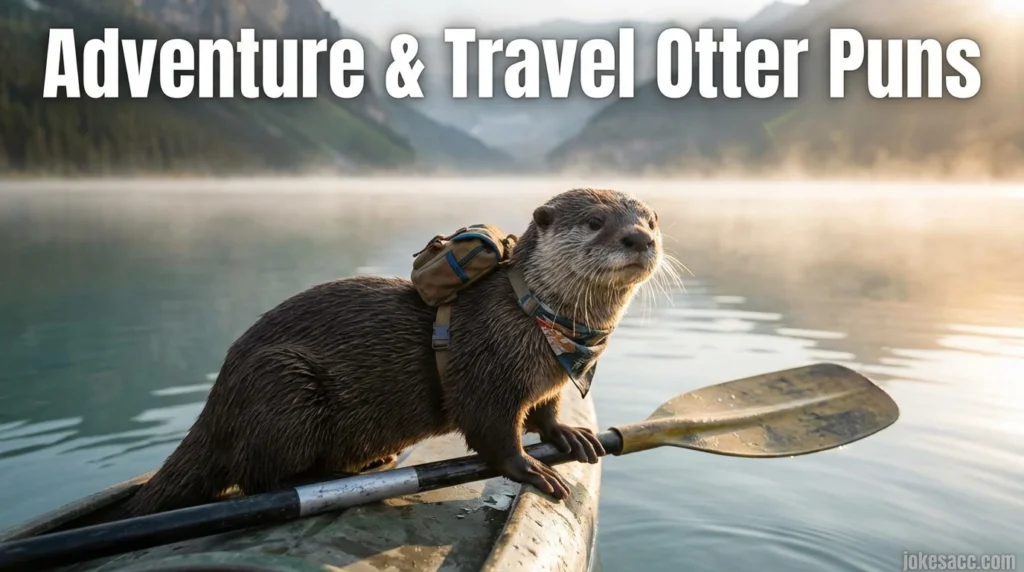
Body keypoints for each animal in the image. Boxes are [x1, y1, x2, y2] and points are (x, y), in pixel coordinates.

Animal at [124, 188, 663, 516]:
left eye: (652, 219)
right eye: (595, 221)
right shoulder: (484, 371)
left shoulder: (549, 384)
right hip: (281, 384)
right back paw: (332, 474)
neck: (539, 330)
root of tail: (217, 400)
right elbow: (491, 432)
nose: (639, 236)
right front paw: (530, 468)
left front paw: (568, 435)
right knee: (258, 476)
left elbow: (545, 412)